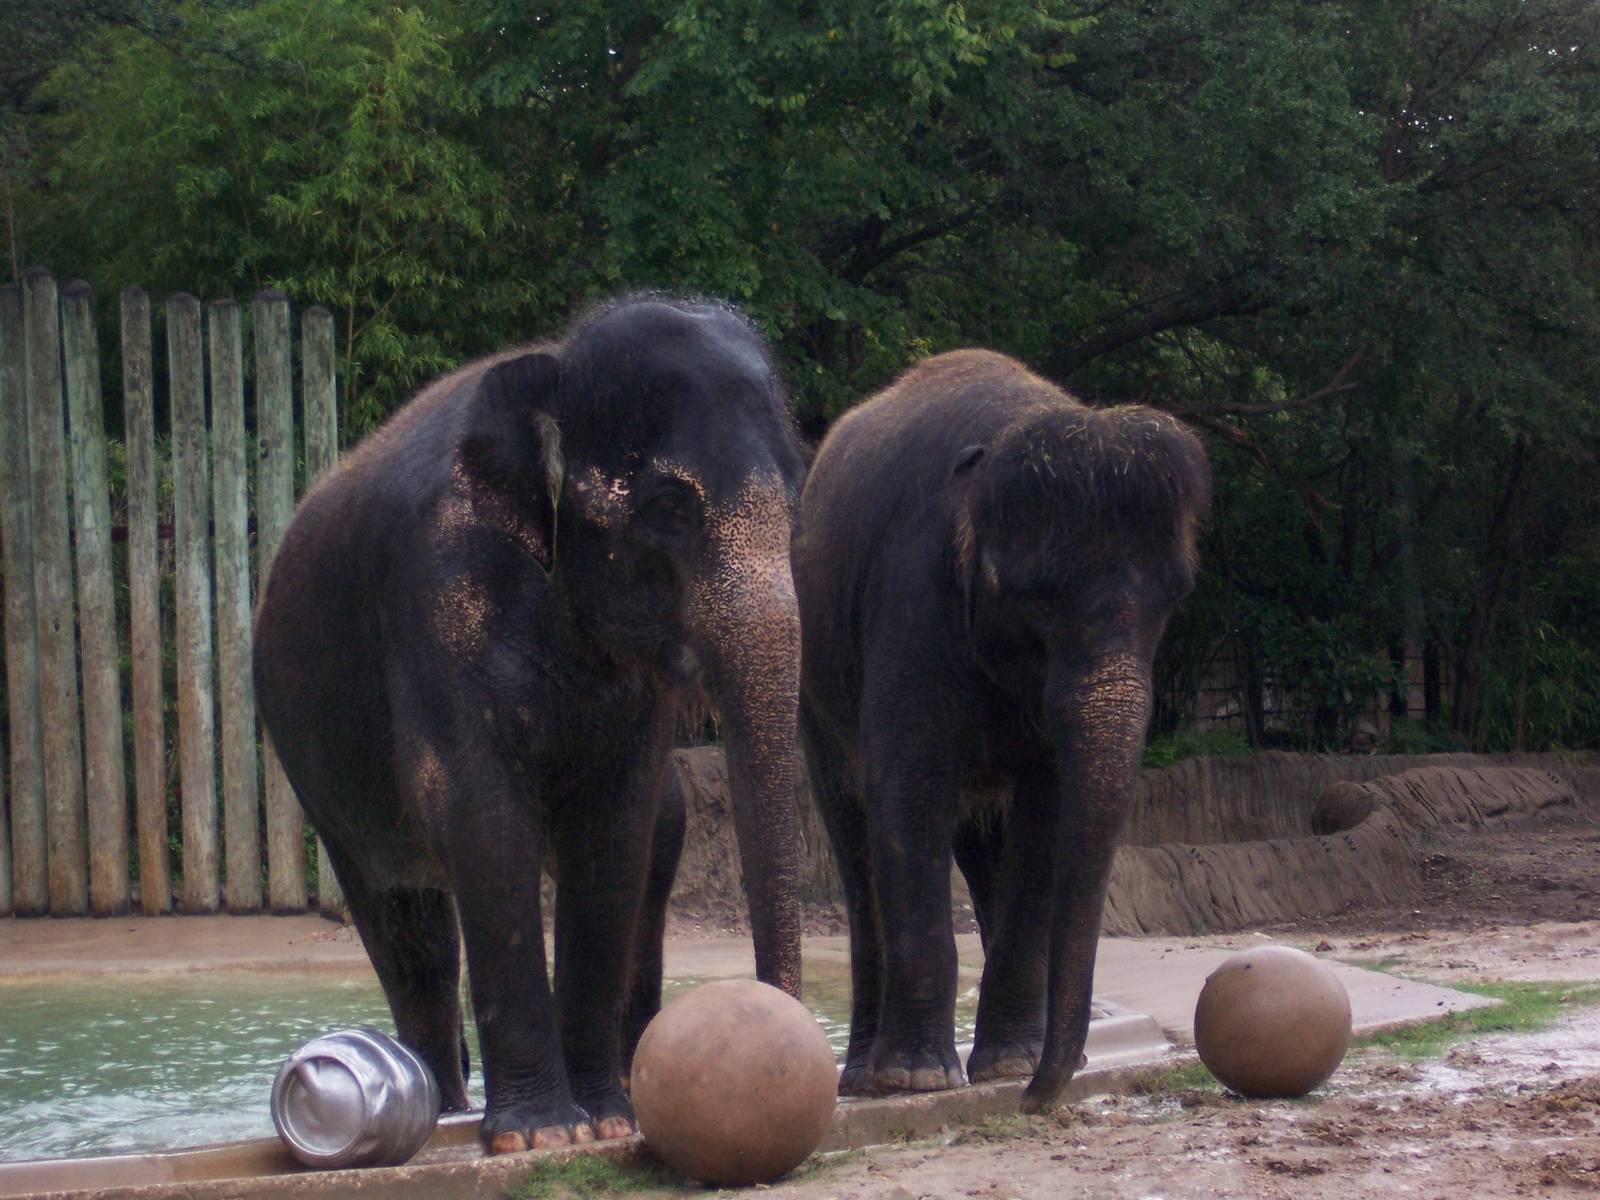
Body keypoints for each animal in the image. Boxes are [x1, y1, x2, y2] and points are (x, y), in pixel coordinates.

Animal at [253, 297, 807, 1154]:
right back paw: (442, 1106)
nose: (786, 1041)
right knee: (403, 922)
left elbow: (617, 828)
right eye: (670, 510)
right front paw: (540, 1136)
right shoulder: (436, 595)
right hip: (313, 764)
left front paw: (607, 1121)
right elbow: (481, 815)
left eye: (795, 498)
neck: (556, 368)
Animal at [790, 349, 1210, 1111]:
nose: (1038, 1102)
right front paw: (918, 1079)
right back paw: (865, 1078)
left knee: (985, 844)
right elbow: (906, 790)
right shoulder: (910, 599)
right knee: (854, 837)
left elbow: (1047, 811)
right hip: (816, 684)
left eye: (1175, 599)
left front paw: (1009, 1066)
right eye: (1035, 600)